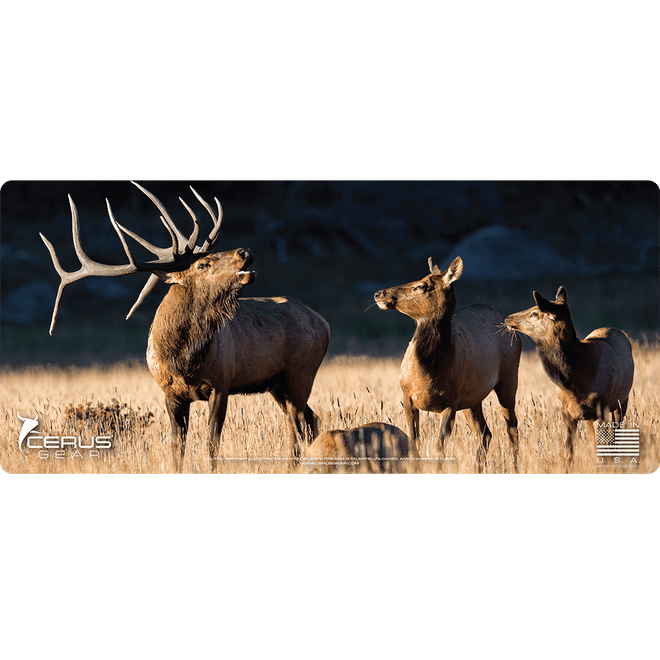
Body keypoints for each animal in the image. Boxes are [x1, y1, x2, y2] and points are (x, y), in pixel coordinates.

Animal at [40, 182, 330, 472]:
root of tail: (324, 322)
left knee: (299, 424)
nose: (245, 251)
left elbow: (211, 444)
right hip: (278, 384)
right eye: (203, 263)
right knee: (308, 421)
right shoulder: (170, 393)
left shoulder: (221, 384)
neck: (183, 360)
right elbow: (176, 446)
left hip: (300, 373)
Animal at [374, 256, 521, 473]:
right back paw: (478, 469)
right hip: (472, 398)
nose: (379, 293)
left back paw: (515, 467)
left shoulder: (451, 401)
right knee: (485, 433)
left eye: (421, 286)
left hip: (509, 378)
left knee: (512, 428)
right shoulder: (407, 395)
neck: (428, 372)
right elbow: (414, 441)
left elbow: (439, 446)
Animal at [504, 287, 634, 462]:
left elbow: (604, 448)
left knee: (616, 436)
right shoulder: (567, 411)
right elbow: (568, 450)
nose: (507, 318)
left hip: (622, 402)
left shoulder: (602, 408)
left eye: (535, 313)